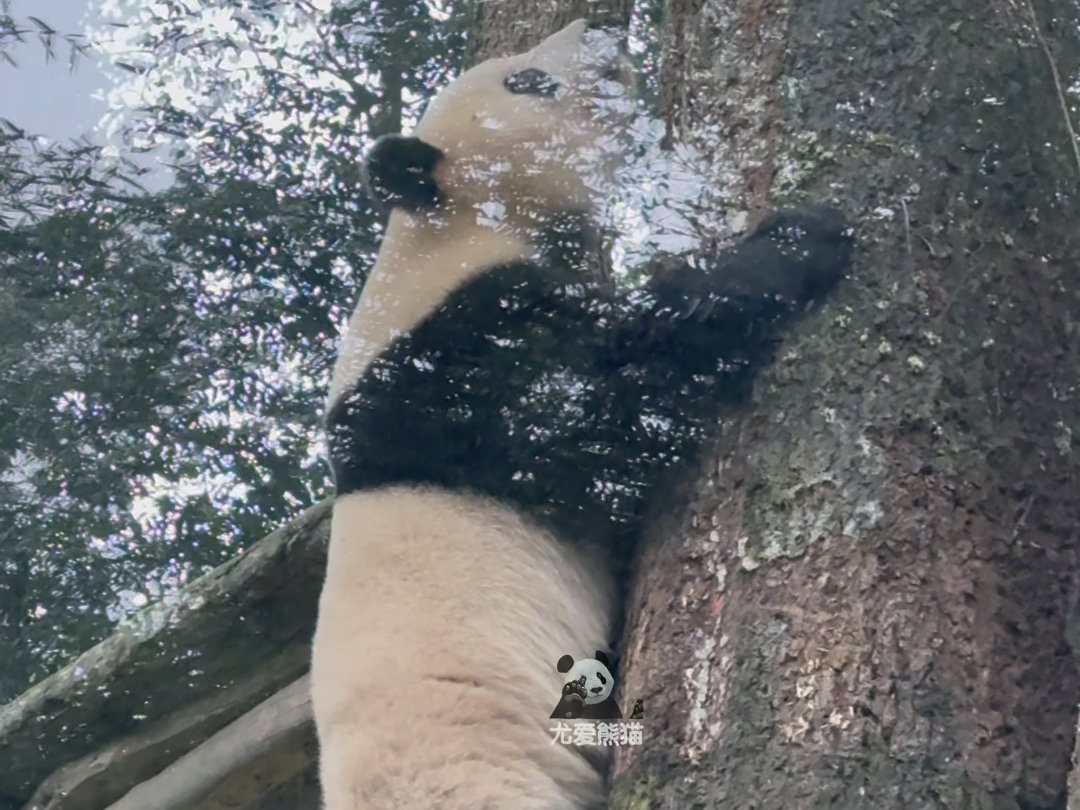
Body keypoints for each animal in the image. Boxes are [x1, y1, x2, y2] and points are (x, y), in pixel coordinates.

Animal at [311, 17, 851, 810]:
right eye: (526, 81)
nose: (597, 30)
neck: (447, 230)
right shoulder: (460, 360)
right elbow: (619, 410)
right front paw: (802, 238)